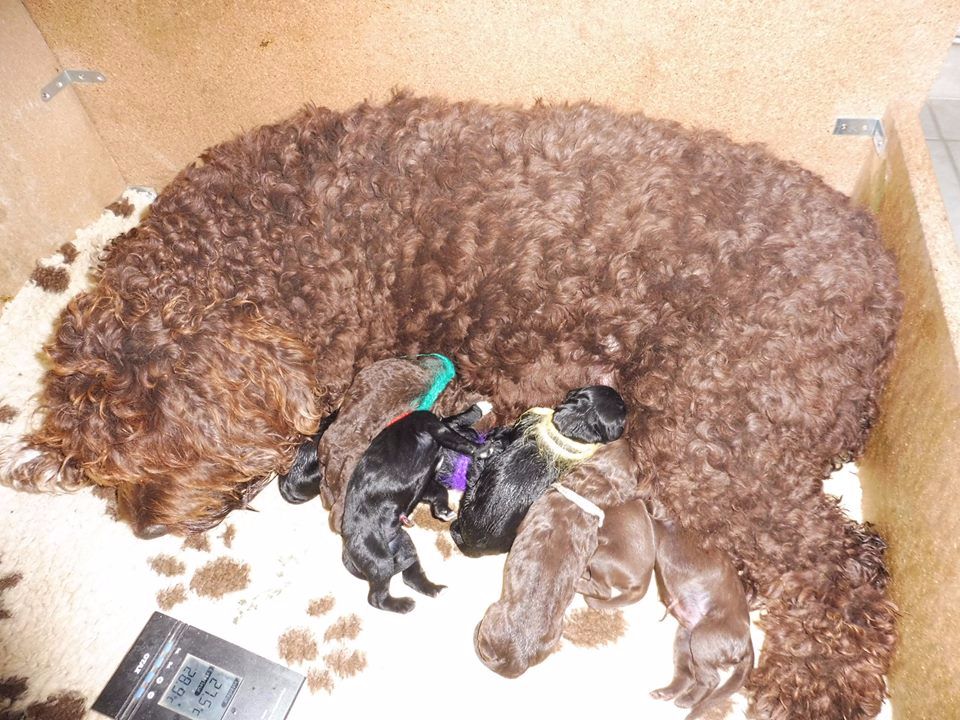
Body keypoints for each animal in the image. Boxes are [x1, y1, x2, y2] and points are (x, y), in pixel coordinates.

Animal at [342, 404, 488, 612]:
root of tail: (346, 549)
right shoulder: (434, 427)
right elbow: (461, 441)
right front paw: (483, 448)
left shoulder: (426, 484)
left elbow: (441, 491)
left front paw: (443, 511)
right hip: (379, 559)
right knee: (376, 598)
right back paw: (403, 604)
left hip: (404, 545)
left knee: (410, 576)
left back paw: (435, 590)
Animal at [476, 436, 640, 676]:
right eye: (635, 467)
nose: (629, 439)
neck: (583, 495)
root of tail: (517, 659)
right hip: (555, 635)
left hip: (491, 614)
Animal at [648, 500, 752, 720]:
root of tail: (748, 643)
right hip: (685, 639)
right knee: (687, 675)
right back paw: (665, 693)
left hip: (702, 638)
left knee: (711, 679)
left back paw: (687, 700)